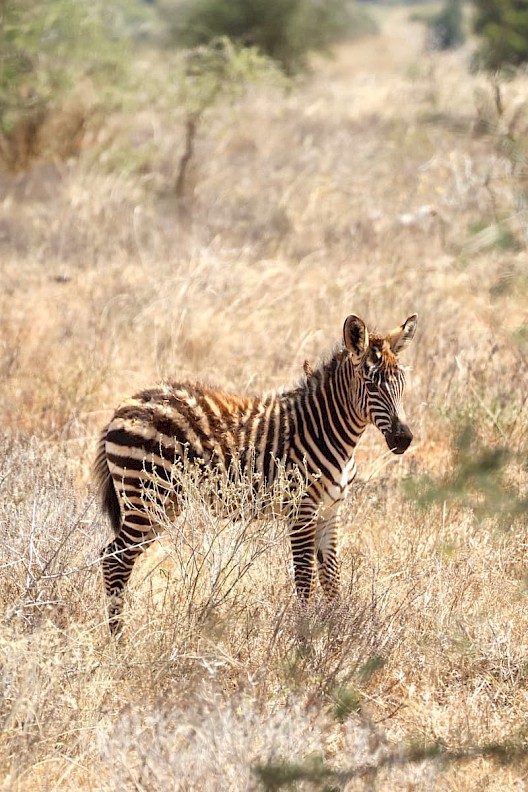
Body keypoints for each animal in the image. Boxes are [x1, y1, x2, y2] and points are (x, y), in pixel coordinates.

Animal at [94, 312, 416, 636]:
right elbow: (305, 580)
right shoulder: (301, 510)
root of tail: (126, 404)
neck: (328, 432)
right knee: (115, 561)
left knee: (115, 557)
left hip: (163, 505)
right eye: (371, 384)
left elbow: (332, 580)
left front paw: (337, 637)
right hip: (146, 497)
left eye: (402, 382)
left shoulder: (330, 511)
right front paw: (305, 640)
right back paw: (119, 641)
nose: (404, 439)